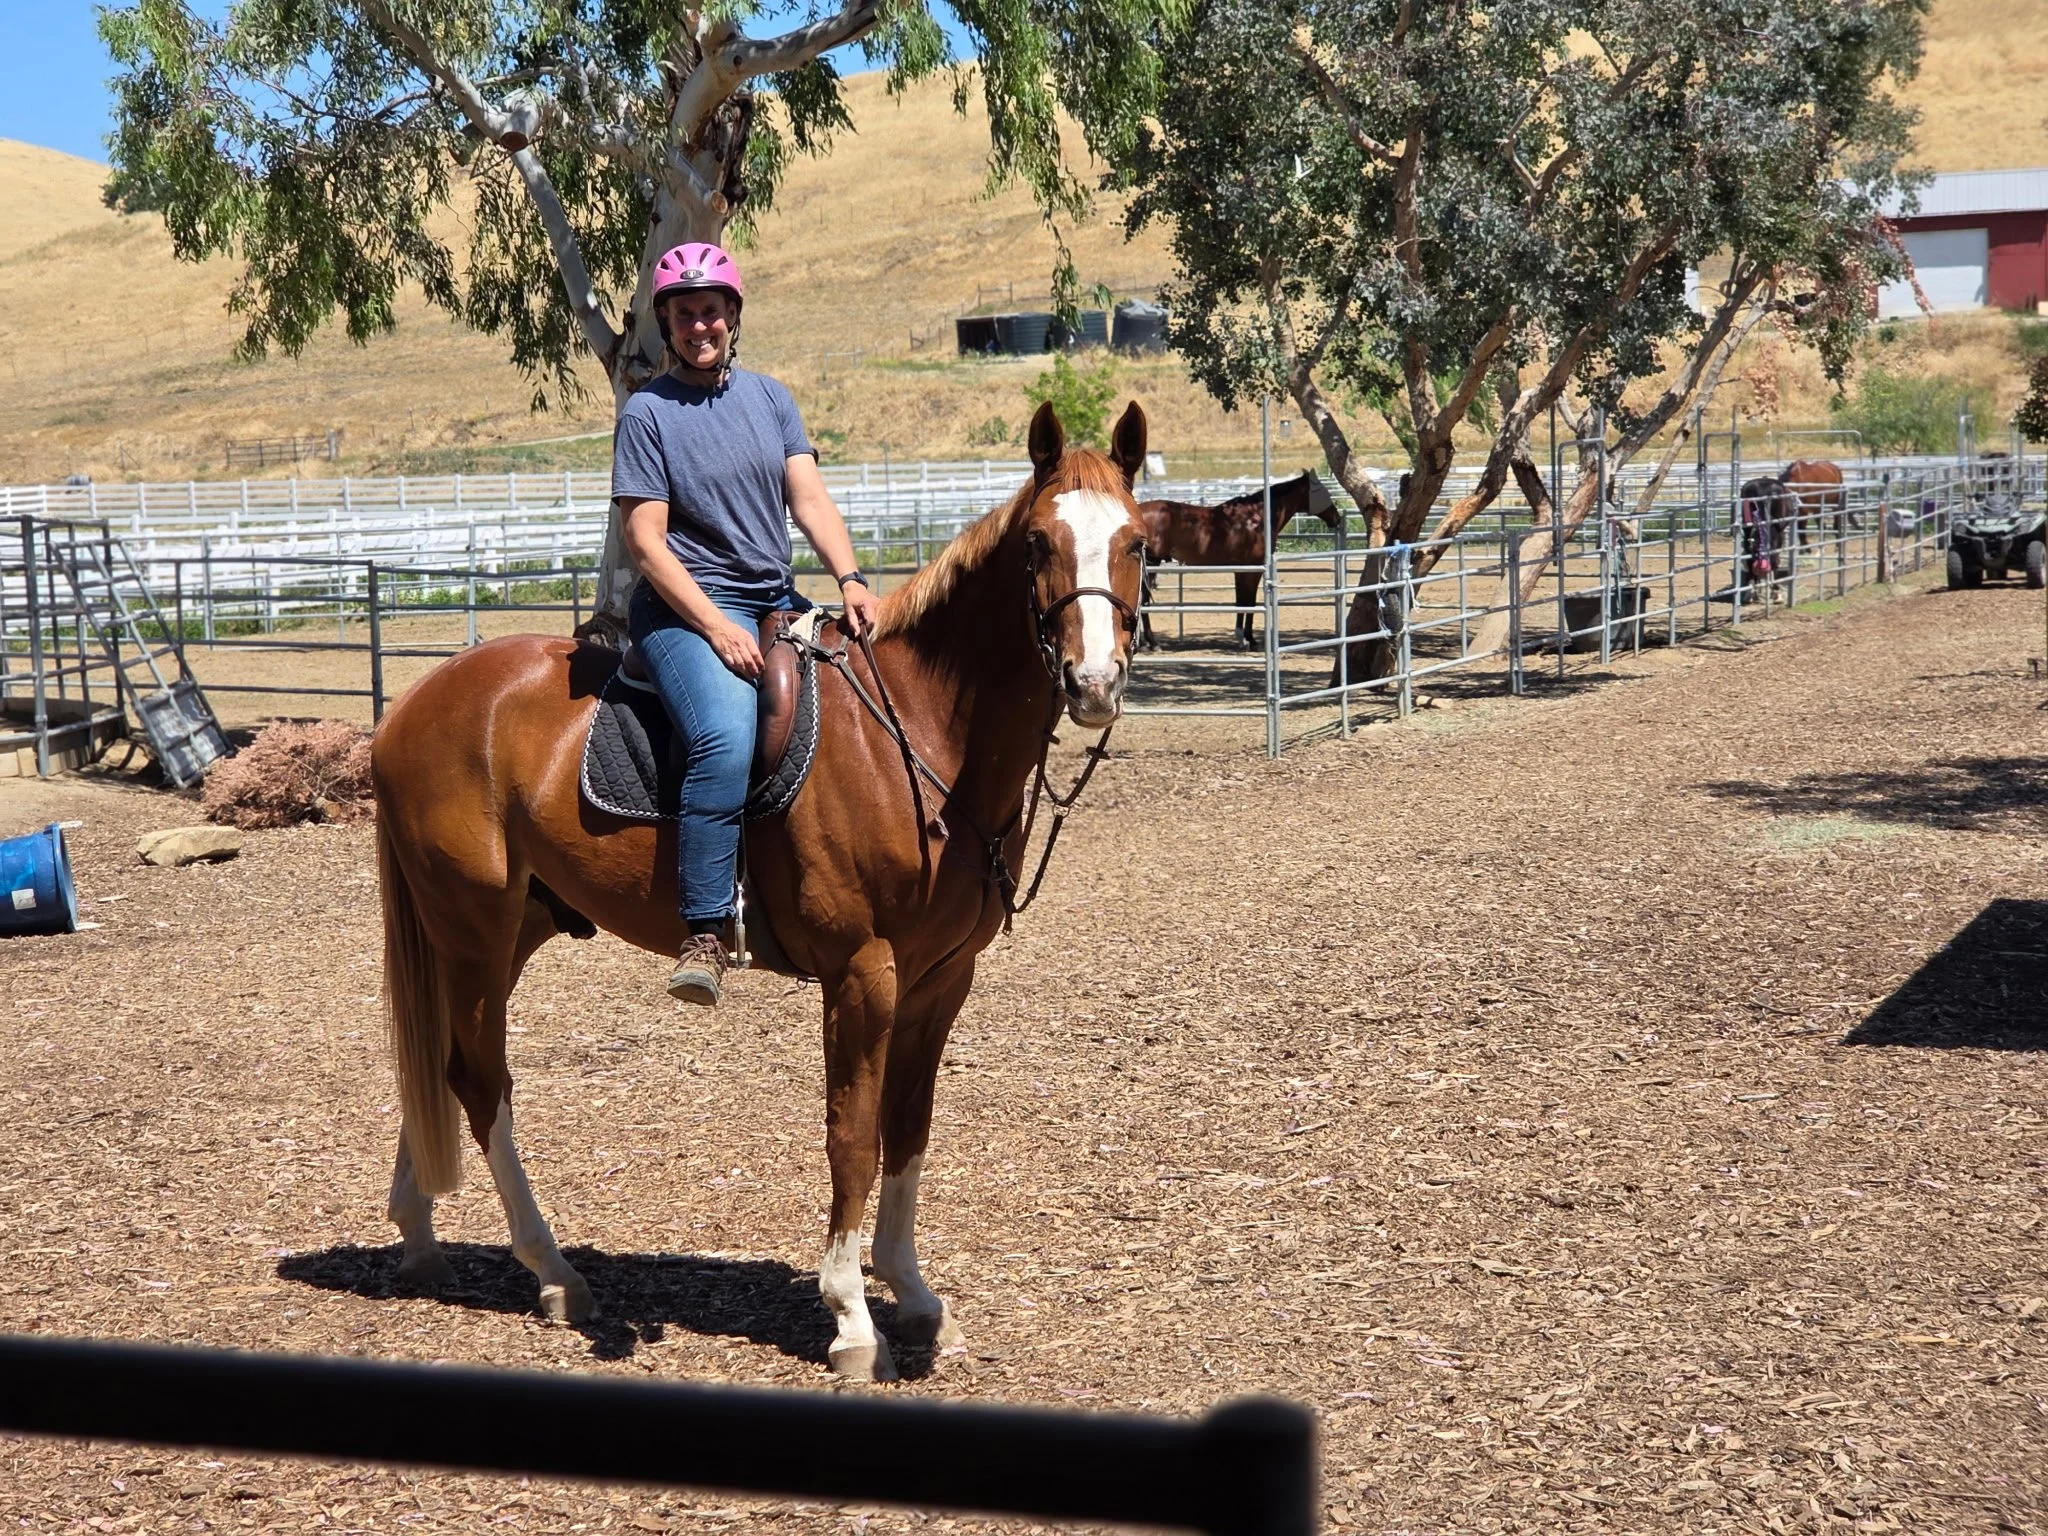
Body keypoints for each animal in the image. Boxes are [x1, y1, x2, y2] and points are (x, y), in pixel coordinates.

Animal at [369, 401, 1150, 1381]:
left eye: (1138, 541)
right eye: (1039, 543)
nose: (1095, 683)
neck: (916, 732)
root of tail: (413, 706)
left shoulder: (941, 980)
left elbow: (910, 1127)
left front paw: (915, 1297)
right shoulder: (863, 974)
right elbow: (853, 1135)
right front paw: (852, 1317)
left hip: (503, 932)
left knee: (438, 1060)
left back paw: (419, 1236)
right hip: (474, 925)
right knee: (479, 1081)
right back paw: (552, 1272)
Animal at [1136, 469, 1342, 648]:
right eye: (1321, 490)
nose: (1337, 518)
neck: (1256, 519)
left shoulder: (1243, 569)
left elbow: (1242, 600)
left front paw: (1242, 637)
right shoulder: (1251, 568)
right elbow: (1249, 601)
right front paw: (1248, 640)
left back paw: (1145, 643)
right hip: (1151, 563)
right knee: (1143, 600)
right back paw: (1153, 643)